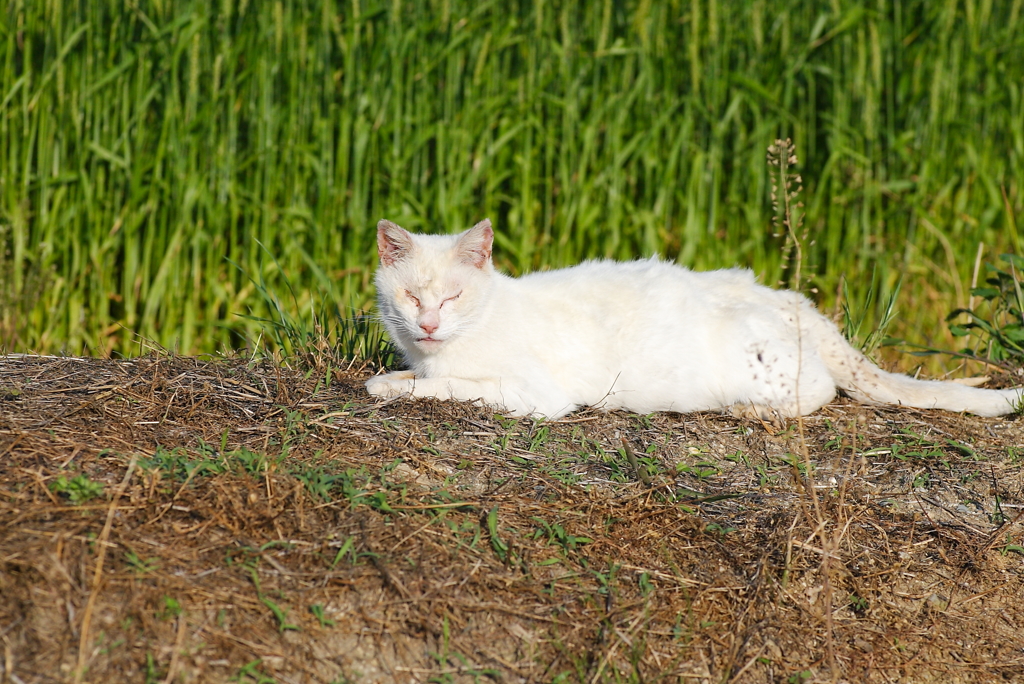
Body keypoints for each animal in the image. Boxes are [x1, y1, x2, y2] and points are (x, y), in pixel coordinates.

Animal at [364, 219, 1019, 419]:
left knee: (822, 390)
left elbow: (448, 386)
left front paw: (400, 386)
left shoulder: (531, 393)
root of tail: (787, 299)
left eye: (452, 297)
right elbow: (409, 377)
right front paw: (392, 378)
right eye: (411, 297)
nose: (428, 324)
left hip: (758, 368)